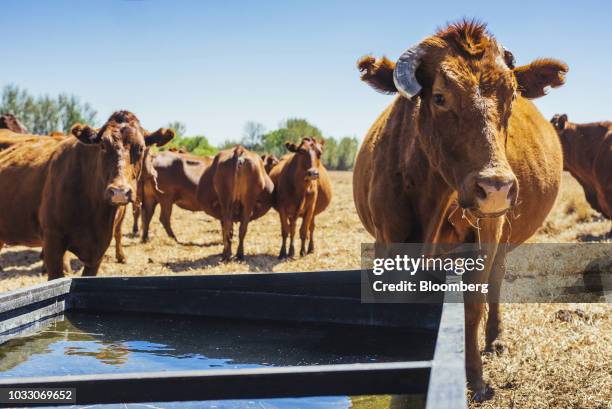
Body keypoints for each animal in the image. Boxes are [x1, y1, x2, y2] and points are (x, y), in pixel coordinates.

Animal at [352, 20, 568, 396]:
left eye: (512, 97)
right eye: (440, 97)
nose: (496, 187)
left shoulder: (486, 238)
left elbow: (472, 306)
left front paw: (476, 377)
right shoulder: (386, 241)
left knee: (495, 283)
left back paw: (495, 339)